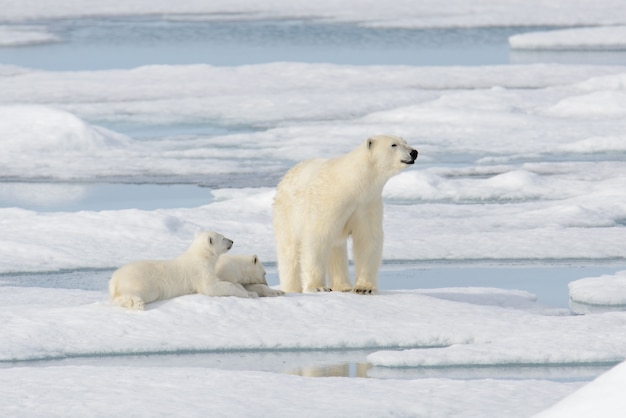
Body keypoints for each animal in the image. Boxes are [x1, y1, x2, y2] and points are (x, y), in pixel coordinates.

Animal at [109, 230, 254, 308]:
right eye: (223, 238)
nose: (232, 241)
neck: (200, 256)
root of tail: (114, 279)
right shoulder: (199, 271)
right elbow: (211, 287)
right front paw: (245, 294)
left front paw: (249, 292)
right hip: (141, 281)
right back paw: (138, 303)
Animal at [272, 136, 414, 294]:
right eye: (393, 144)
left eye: (405, 142)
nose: (414, 152)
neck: (352, 185)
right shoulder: (330, 200)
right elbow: (318, 236)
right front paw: (318, 287)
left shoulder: (367, 203)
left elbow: (367, 239)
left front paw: (364, 288)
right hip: (287, 212)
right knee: (289, 251)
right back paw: (292, 288)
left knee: (336, 249)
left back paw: (343, 287)